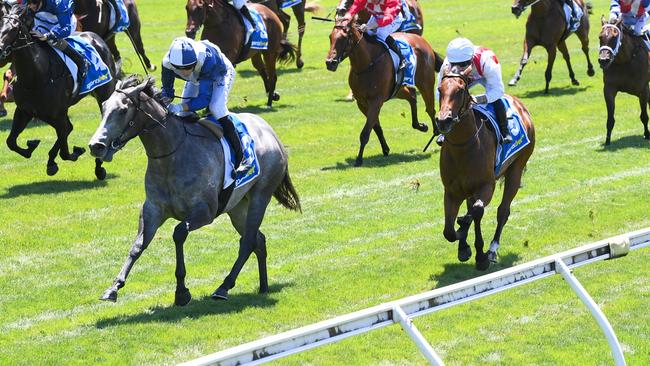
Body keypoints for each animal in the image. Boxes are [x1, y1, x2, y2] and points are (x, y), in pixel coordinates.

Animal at [0, 4, 115, 179]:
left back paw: (99, 167)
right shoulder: (25, 111)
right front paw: (33, 147)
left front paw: (76, 152)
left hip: (104, 93)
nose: (0, 51)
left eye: (13, 28)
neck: (37, 75)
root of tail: (97, 37)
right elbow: (11, 142)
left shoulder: (57, 115)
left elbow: (65, 152)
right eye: (0, 24)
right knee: (68, 129)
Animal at [88, 76, 302, 304]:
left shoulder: (204, 212)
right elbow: (138, 245)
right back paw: (263, 286)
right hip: (237, 207)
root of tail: (271, 132)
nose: (96, 146)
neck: (171, 155)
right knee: (258, 240)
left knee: (247, 242)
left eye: (122, 110)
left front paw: (182, 291)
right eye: (103, 107)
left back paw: (223, 287)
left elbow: (178, 233)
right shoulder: (152, 209)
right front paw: (113, 287)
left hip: (260, 197)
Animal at [324, 16, 440, 166]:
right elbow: (375, 127)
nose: (330, 62)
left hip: (425, 82)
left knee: (430, 109)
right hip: (396, 89)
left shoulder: (376, 101)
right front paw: (385, 149)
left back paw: (437, 131)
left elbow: (366, 132)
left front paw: (359, 159)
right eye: (330, 37)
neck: (366, 64)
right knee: (412, 95)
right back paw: (420, 125)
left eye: (344, 38)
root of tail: (423, 41)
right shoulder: (362, 103)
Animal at [436, 67, 532, 270]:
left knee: (502, 211)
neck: (463, 147)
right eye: (440, 89)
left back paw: (491, 250)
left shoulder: (486, 186)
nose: (443, 121)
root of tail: (519, 104)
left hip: (516, 170)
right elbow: (449, 231)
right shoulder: (452, 191)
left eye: (460, 90)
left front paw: (480, 255)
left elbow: (477, 212)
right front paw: (463, 245)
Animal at [596, 17, 648, 146]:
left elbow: (644, 116)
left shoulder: (643, 90)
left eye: (615, 37)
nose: (603, 60)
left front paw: (647, 134)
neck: (625, 60)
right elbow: (610, 119)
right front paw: (607, 141)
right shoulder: (609, 89)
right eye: (600, 37)